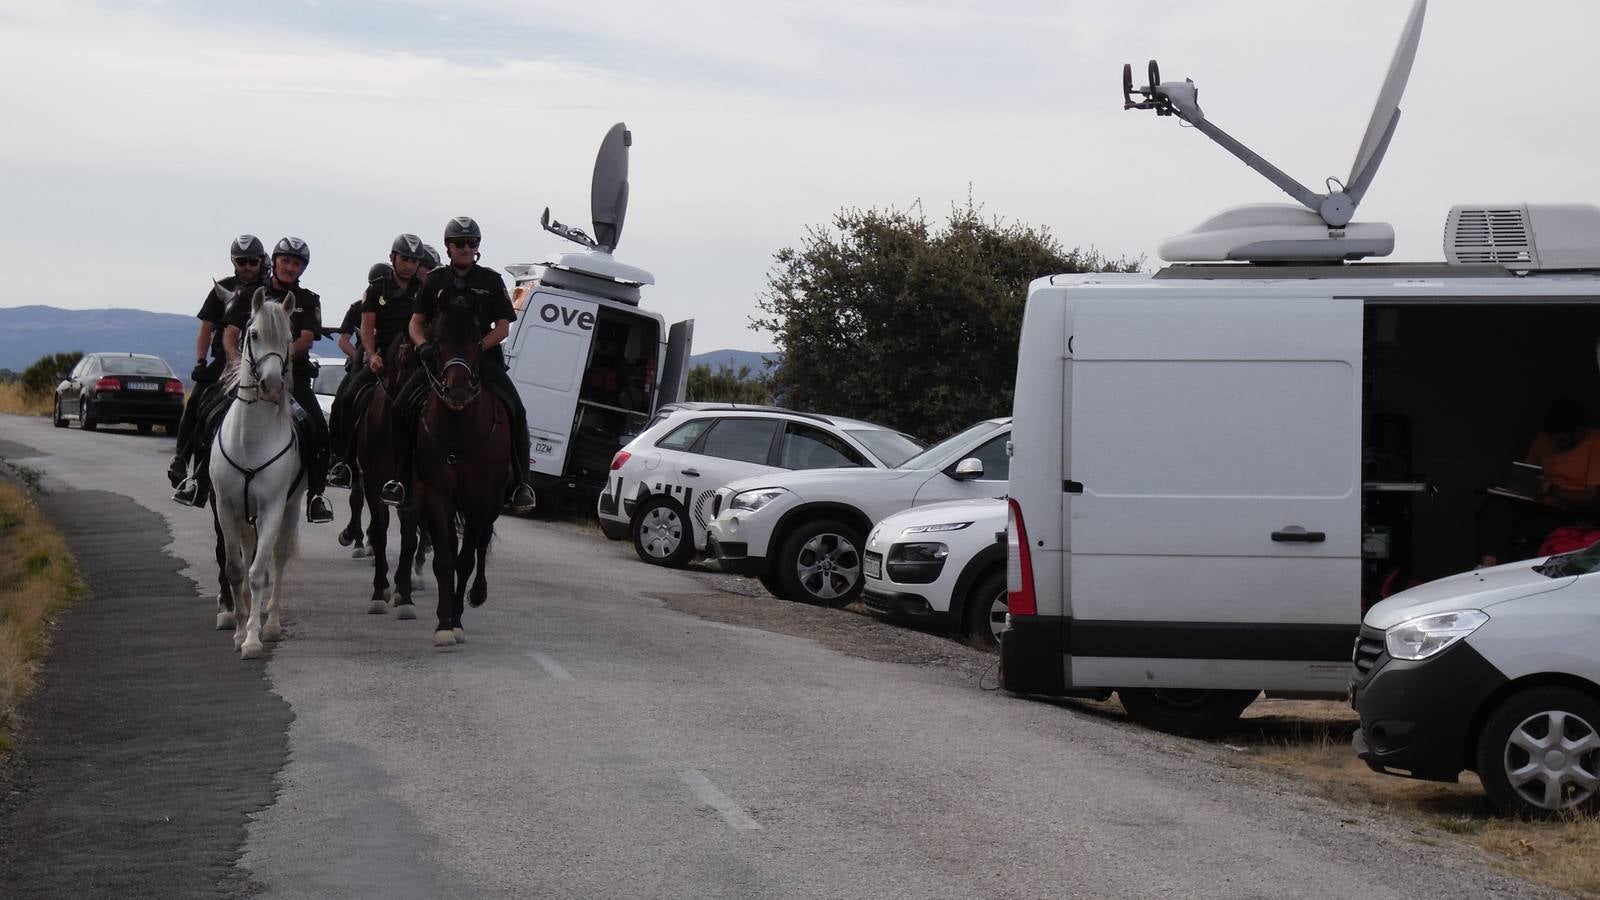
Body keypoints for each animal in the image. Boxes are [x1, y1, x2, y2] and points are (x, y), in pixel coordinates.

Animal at [209, 291, 302, 656]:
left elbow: (260, 570)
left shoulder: (272, 508)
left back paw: (271, 623)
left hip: (290, 508)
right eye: (254, 334)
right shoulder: (225, 505)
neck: (250, 440)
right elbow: (236, 569)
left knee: (278, 558)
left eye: (289, 338)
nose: (272, 385)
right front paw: (238, 629)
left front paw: (252, 638)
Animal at [350, 334, 425, 614]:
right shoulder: (372, 482)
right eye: (403, 362)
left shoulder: (416, 488)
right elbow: (380, 530)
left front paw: (404, 594)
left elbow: (408, 538)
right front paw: (379, 592)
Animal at [416, 301, 508, 643]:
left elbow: (466, 560)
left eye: (476, 341)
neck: (458, 432)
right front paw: (444, 624)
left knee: (480, 545)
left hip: (492, 504)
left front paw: (456, 619)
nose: (456, 392)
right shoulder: (437, 494)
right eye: (439, 341)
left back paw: (478, 593)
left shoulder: (480, 500)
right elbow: (445, 560)